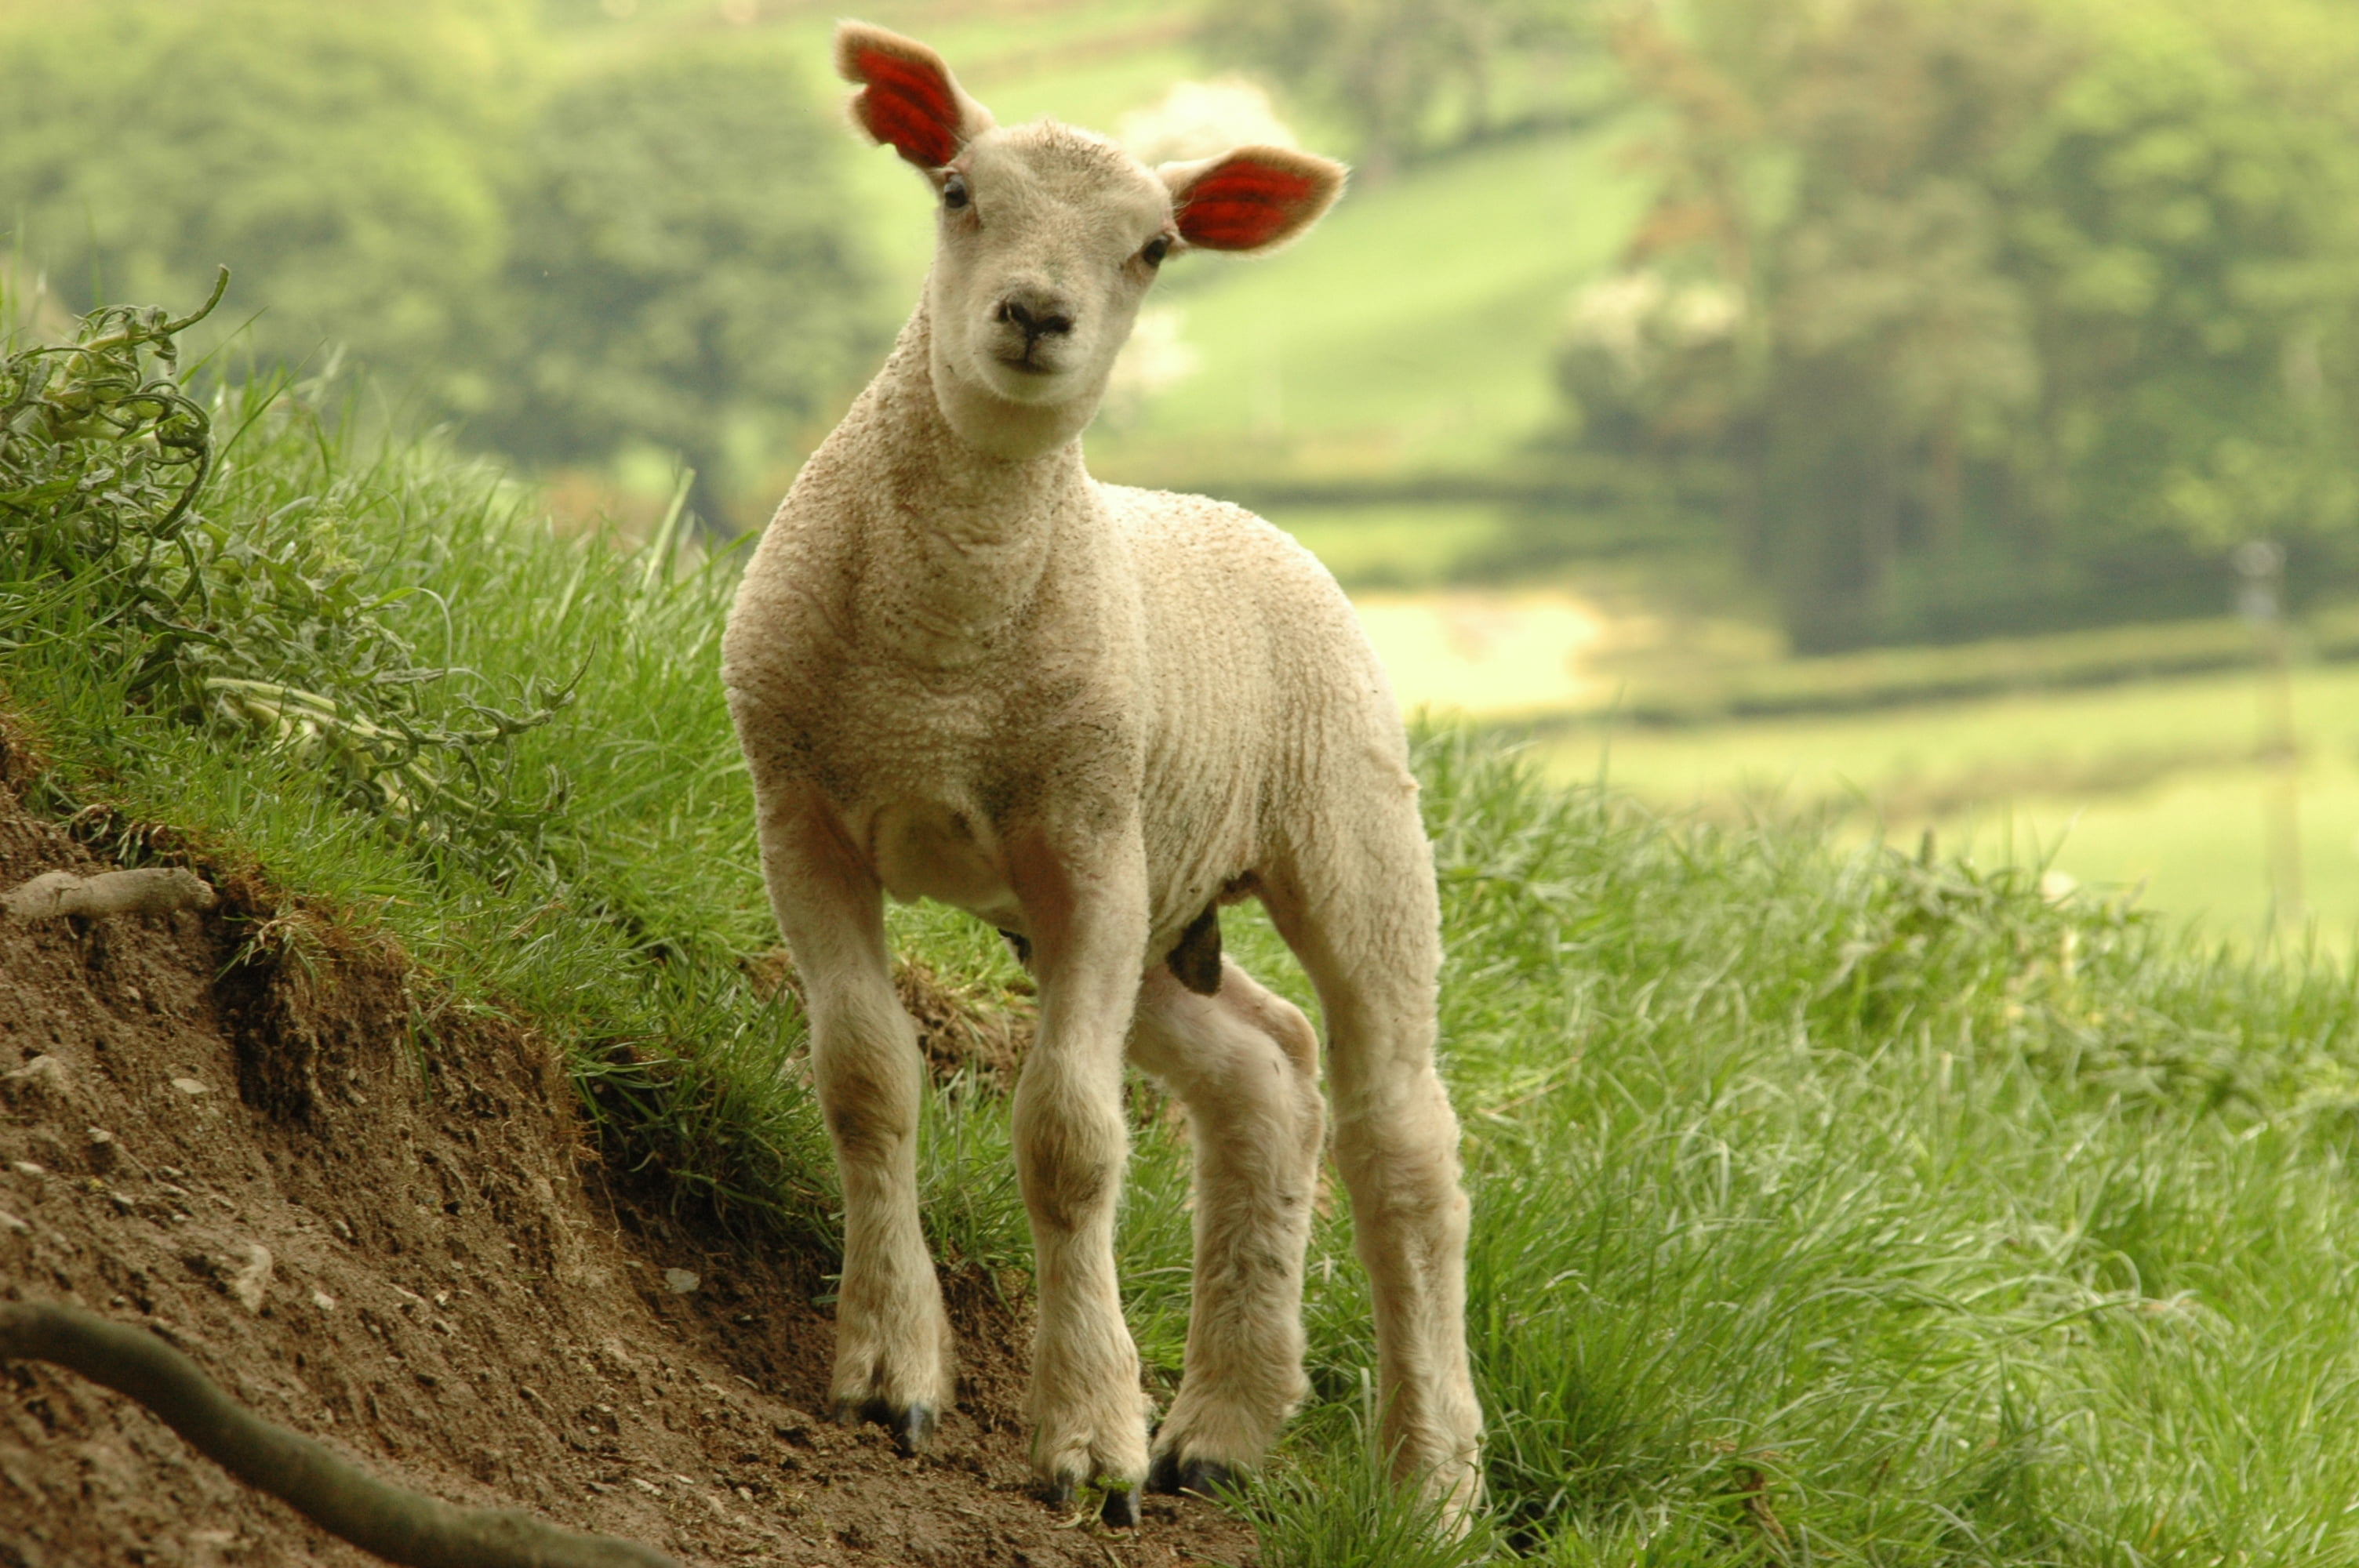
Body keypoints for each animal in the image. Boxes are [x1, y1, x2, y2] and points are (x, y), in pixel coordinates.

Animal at [720, 22, 1483, 1528]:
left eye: (1154, 248)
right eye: (956, 190)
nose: (1034, 315)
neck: (941, 653)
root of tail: (1245, 519)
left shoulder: (1084, 837)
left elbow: (1071, 1141)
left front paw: (1084, 1439)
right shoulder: (803, 812)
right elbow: (864, 1078)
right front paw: (889, 1373)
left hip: (1336, 825)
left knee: (1401, 1140)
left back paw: (1429, 1483)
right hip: (1145, 900)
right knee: (1266, 1077)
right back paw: (1225, 1424)